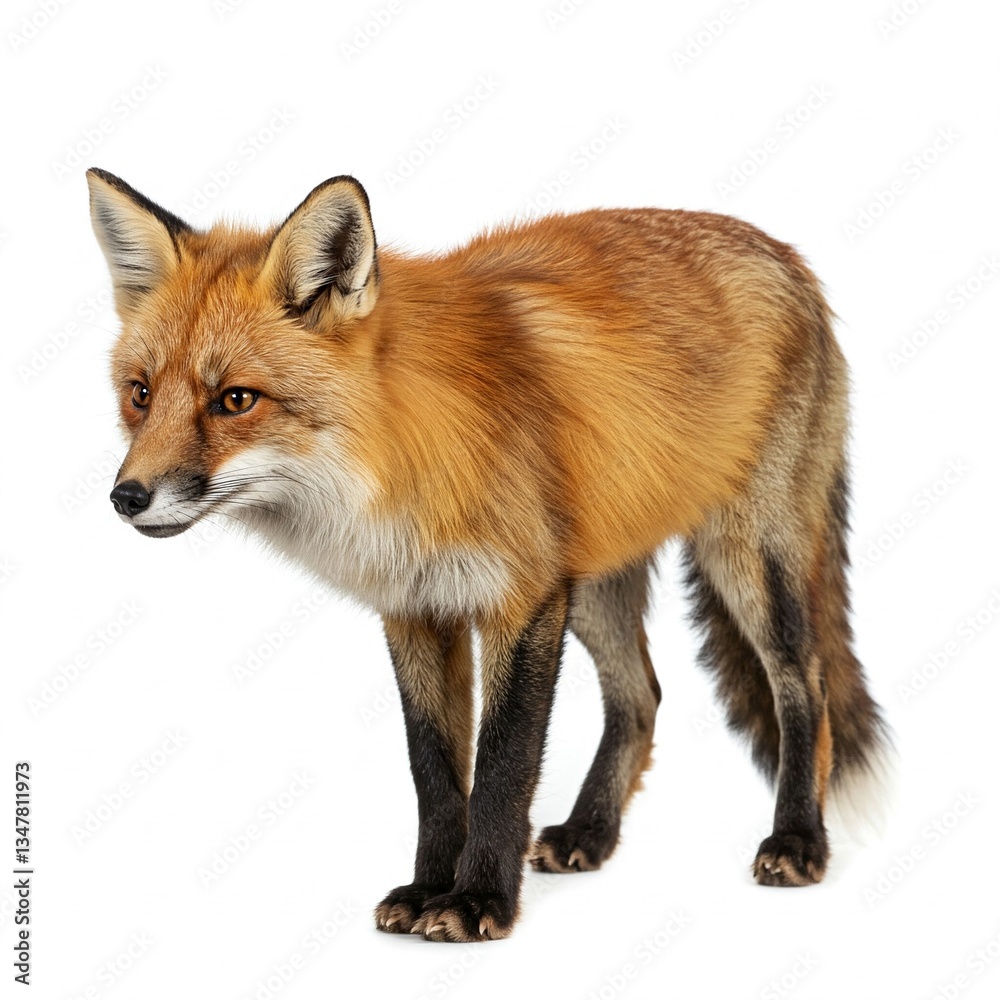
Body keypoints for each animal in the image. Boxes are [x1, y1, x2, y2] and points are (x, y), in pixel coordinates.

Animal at [86, 167, 888, 942]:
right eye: (140, 394)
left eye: (235, 400)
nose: (127, 497)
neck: (402, 451)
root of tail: (784, 252)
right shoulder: (416, 609)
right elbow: (436, 774)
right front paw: (427, 890)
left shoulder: (523, 601)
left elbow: (504, 765)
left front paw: (479, 901)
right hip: (593, 584)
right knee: (642, 694)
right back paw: (592, 832)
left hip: (747, 558)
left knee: (804, 685)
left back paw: (798, 840)